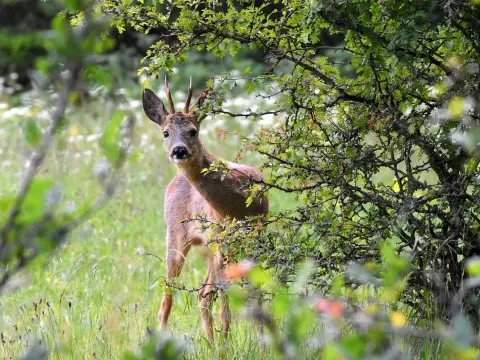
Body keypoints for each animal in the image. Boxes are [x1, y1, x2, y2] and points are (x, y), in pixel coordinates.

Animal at [142, 78, 270, 344]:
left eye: (194, 131)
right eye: (165, 133)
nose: (179, 150)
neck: (239, 205)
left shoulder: (256, 237)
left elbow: (256, 296)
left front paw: (263, 344)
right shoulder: (223, 242)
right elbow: (224, 303)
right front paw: (227, 347)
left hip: (212, 247)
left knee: (203, 294)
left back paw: (212, 345)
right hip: (177, 237)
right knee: (169, 299)